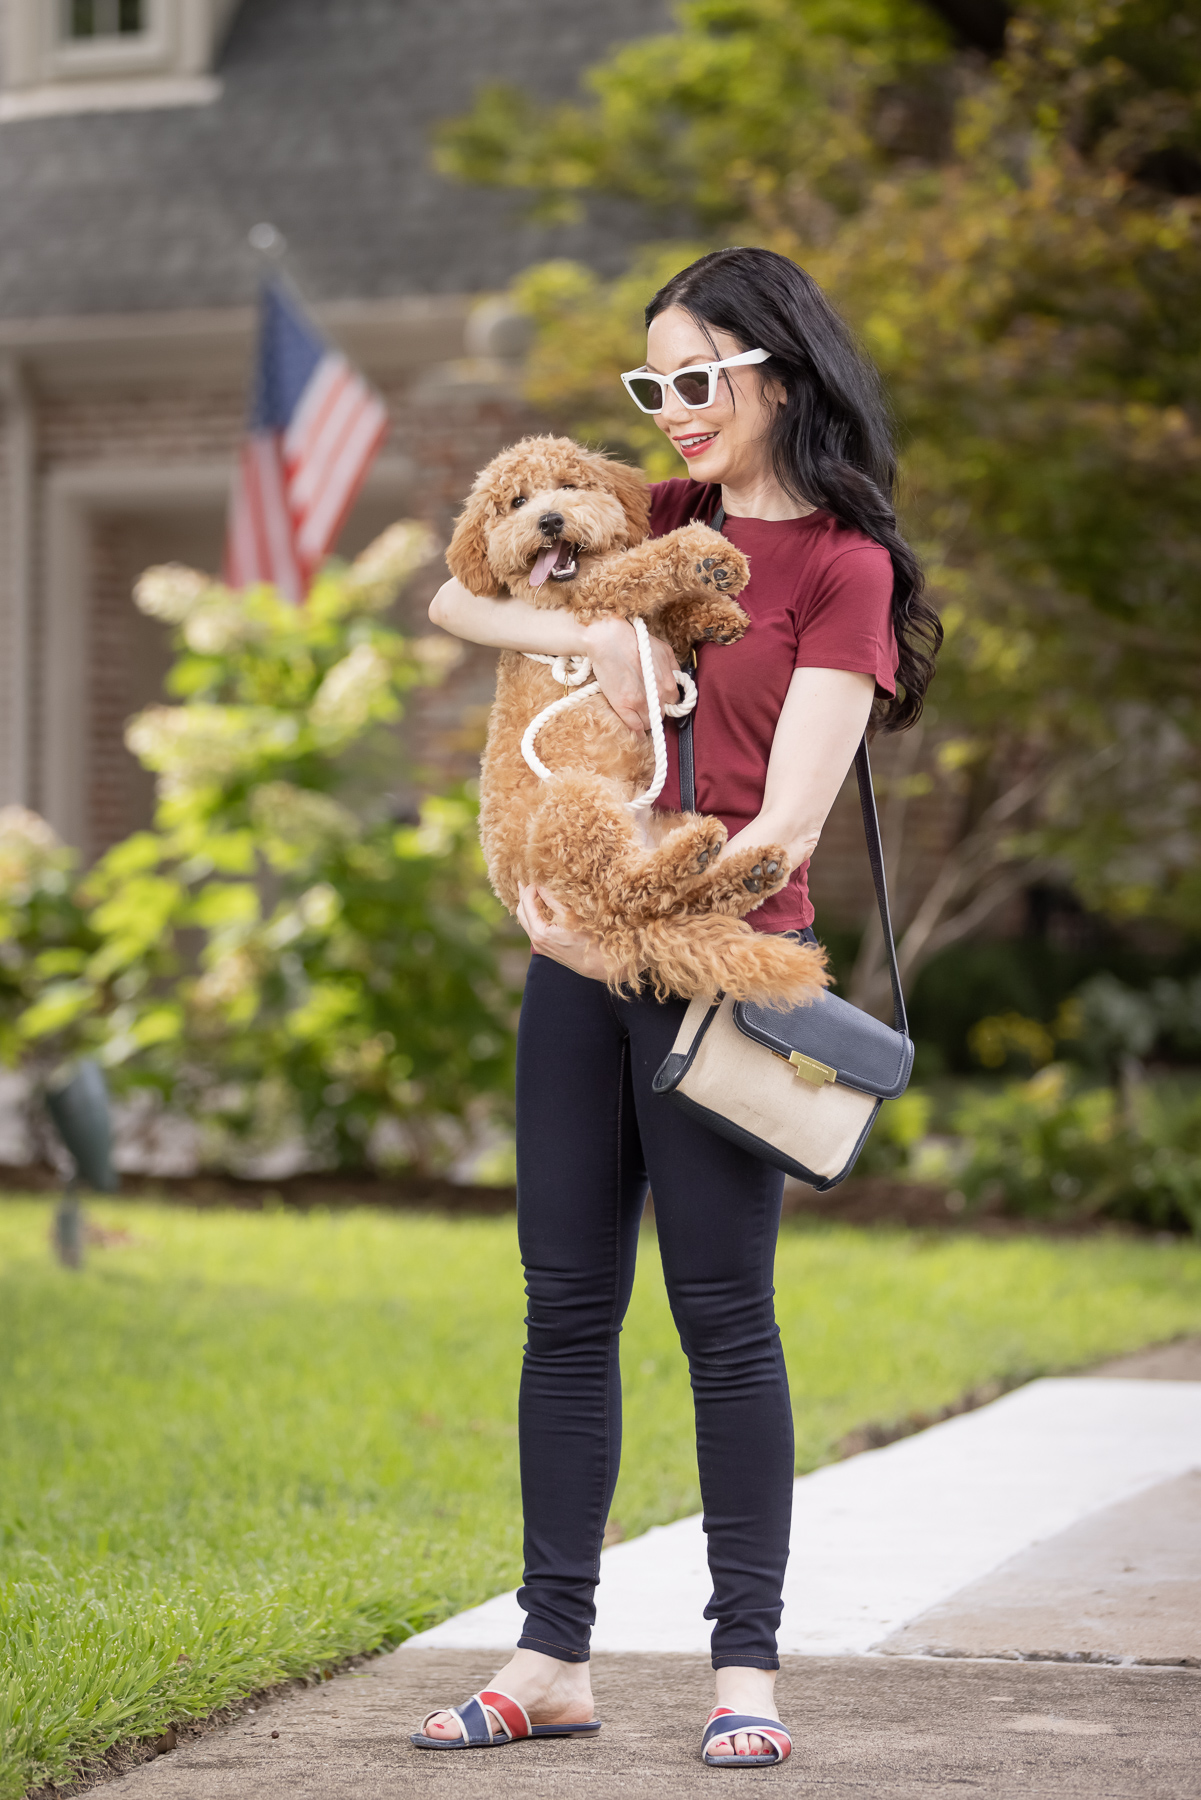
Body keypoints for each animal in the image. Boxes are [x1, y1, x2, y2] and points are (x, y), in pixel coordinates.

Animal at [446, 430, 831, 1008]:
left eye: (569, 485)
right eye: (516, 502)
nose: (550, 521)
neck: (562, 586)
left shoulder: (642, 632)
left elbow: (666, 617)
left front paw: (714, 612)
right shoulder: (595, 601)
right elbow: (643, 563)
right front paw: (708, 558)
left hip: (666, 818)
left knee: (682, 900)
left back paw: (747, 871)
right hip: (578, 801)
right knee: (633, 891)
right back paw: (696, 863)